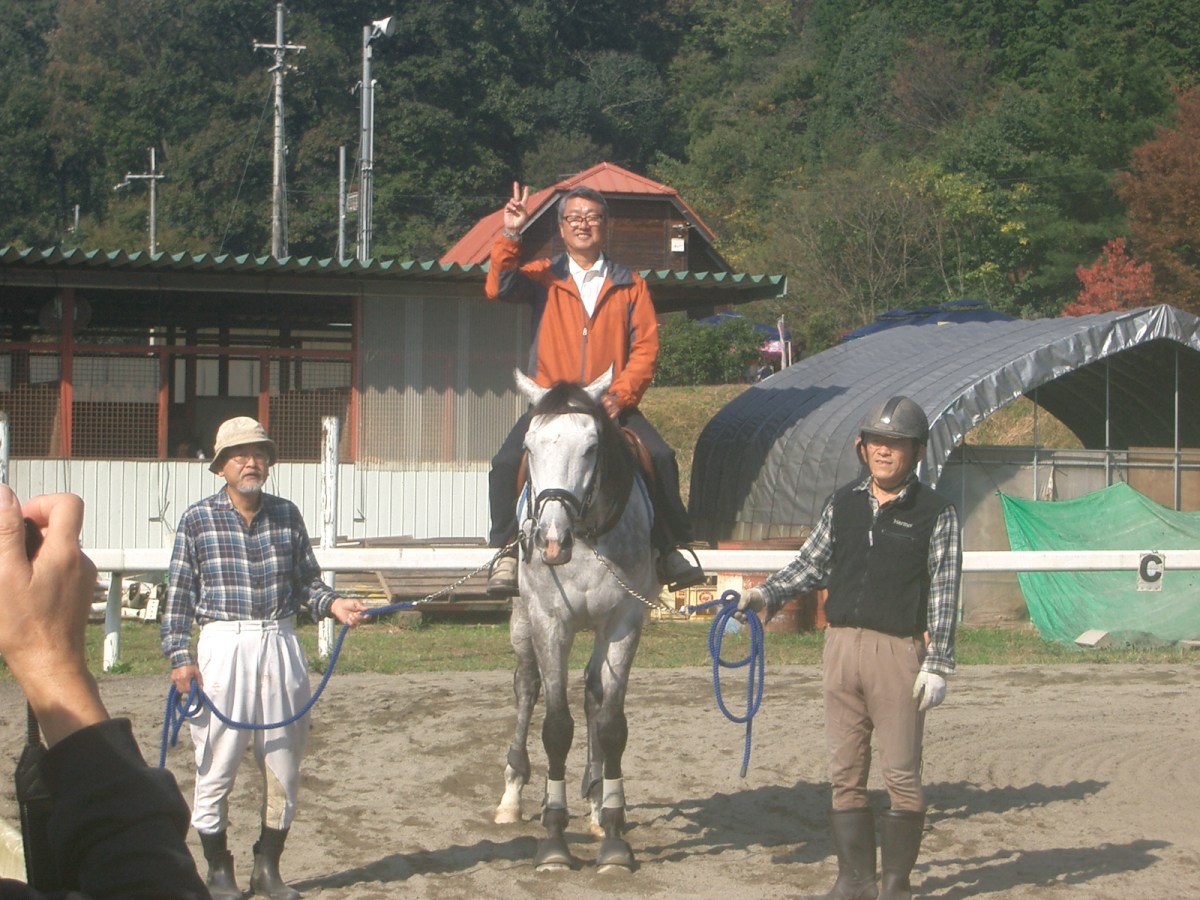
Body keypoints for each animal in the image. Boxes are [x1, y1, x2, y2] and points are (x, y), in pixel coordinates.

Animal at [493, 366, 658, 872]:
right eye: (529, 447)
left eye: (590, 447)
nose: (549, 540)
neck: (584, 535)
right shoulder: (550, 622)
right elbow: (556, 726)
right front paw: (553, 838)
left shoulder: (624, 622)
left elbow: (610, 724)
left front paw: (614, 834)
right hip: (521, 621)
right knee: (527, 687)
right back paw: (511, 796)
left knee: (592, 693)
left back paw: (595, 801)